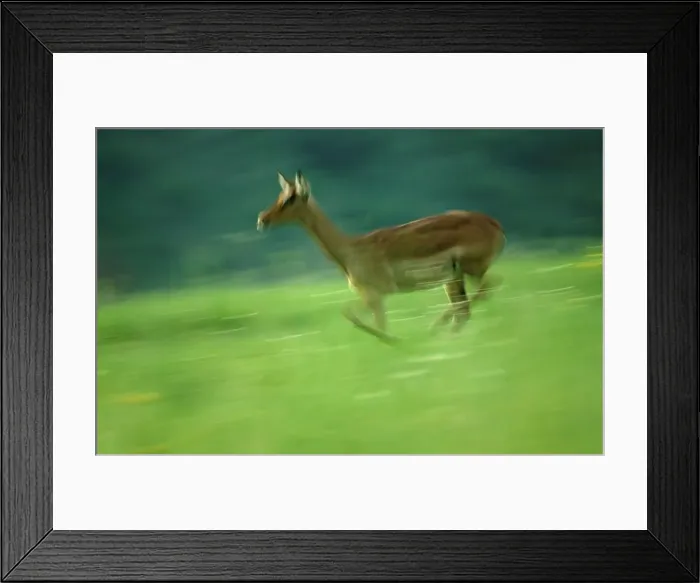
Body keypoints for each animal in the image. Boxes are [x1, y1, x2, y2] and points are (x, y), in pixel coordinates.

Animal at [257, 170, 506, 345]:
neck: (351, 249)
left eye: (290, 199)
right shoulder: (375, 297)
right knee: (465, 309)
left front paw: (397, 341)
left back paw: (431, 330)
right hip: (453, 279)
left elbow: (356, 316)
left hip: (470, 271)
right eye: (280, 195)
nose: (262, 219)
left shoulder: (373, 295)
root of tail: (493, 223)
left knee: (485, 291)